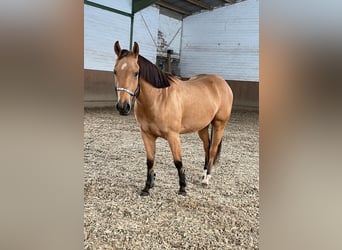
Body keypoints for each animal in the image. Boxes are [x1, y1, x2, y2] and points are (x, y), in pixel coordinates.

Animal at [112, 41, 232, 196]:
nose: (123, 106)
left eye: (136, 73)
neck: (158, 99)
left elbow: (178, 161)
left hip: (219, 124)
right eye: (115, 71)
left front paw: (182, 188)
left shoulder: (173, 136)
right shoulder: (146, 135)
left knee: (212, 149)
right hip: (203, 127)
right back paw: (203, 174)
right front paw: (147, 187)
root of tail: (222, 83)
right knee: (207, 147)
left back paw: (206, 179)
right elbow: (150, 161)